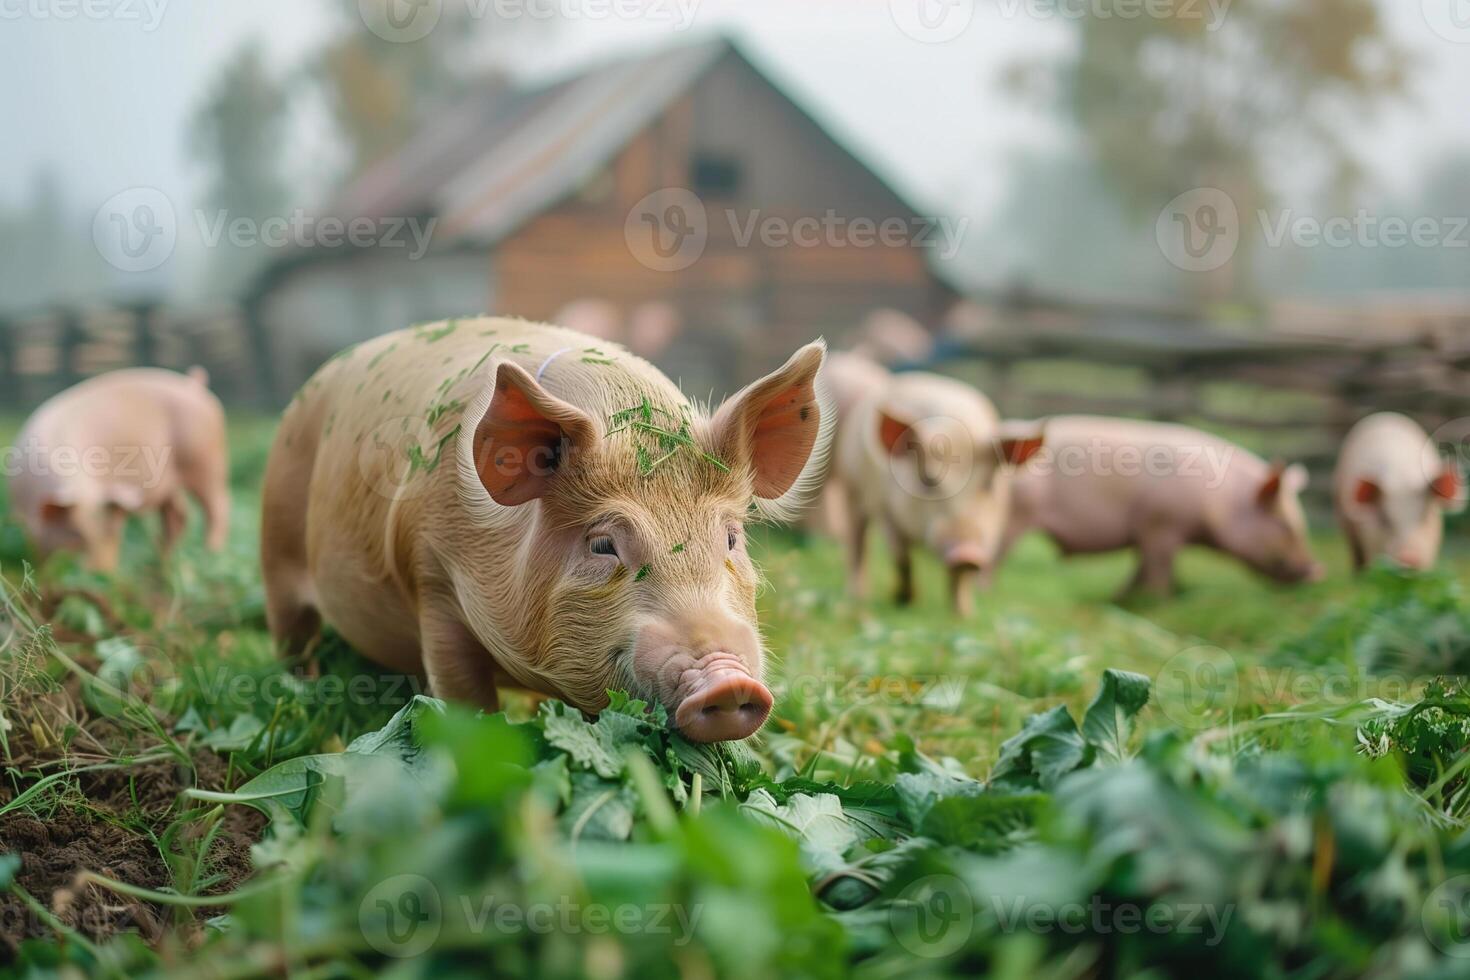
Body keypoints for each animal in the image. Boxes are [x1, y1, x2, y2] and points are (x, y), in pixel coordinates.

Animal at [7, 367, 232, 570]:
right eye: (76, 538)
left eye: (106, 535)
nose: (101, 574)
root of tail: (192, 385)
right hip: (173, 480)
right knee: (178, 515)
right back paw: (163, 562)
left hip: (206, 461)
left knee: (218, 507)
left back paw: (210, 555)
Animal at [261, 320, 829, 743]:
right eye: (602, 544)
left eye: (731, 538)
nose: (728, 681)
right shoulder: (432, 575)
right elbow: (464, 693)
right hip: (277, 542)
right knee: (292, 632)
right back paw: (302, 694)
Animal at [834, 371, 1040, 617]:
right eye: (928, 480)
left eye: (989, 484)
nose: (967, 553)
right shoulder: (885, 508)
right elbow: (901, 558)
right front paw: (905, 600)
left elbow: (961, 577)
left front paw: (965, 614)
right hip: (850, 488)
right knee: (857, 542)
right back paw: (857, 596)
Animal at [999, 417, 1323, 599]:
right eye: (1284, 524)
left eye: (1300, 522)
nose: (1318, 572)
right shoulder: (1161, 525)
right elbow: (1158, 569)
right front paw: (1157, 600)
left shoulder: (1149, 533)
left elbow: (1142, 568)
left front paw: (1121, 598)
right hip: (1014, 516)